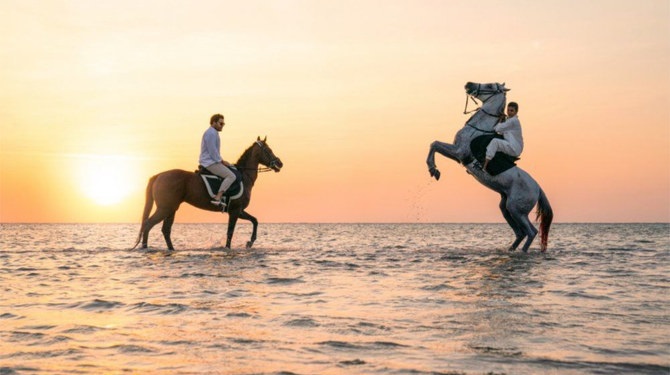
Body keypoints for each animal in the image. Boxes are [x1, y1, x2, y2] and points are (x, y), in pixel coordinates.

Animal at [134, 137, 284, 251]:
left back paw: (171, 249)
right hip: (165, 208)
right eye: (268, 150)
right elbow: (230, 232)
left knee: (165, 229)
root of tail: (159, 175)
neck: (243, 176)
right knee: (148, 224)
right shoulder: (235, 211)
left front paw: (250, 242)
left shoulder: (239, 210)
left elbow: (255, 220)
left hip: (171, 209)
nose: (280, 163)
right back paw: (145, 248)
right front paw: (230, 248)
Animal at [428, 82, 552, 253]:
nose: (468, 84)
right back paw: (510, 250)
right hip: (506, 207)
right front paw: (433, 169)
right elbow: (434, 144)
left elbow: (434, 144)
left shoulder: (459, 152)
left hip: (516, 209)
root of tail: (538, 189)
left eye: (490, 85)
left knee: (531, 232)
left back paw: (522, 252)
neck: (477, 128)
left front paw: (433, 169)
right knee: (520, 233)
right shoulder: (457, 155)